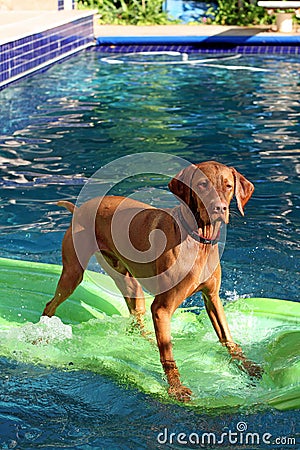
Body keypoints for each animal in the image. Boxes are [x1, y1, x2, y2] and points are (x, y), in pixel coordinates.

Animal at [43, 161, 262, 400]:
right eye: (202, 185)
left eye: (228, 186)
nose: (219, 208)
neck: (198, 239)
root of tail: (79, 209)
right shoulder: (161, 308)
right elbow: (168, 355)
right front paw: (176, 388)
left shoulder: (212, 298)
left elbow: (228, 338)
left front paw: (248, 367)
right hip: (72, 274)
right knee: (50, 305)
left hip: (129, 284)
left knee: (136, 318)